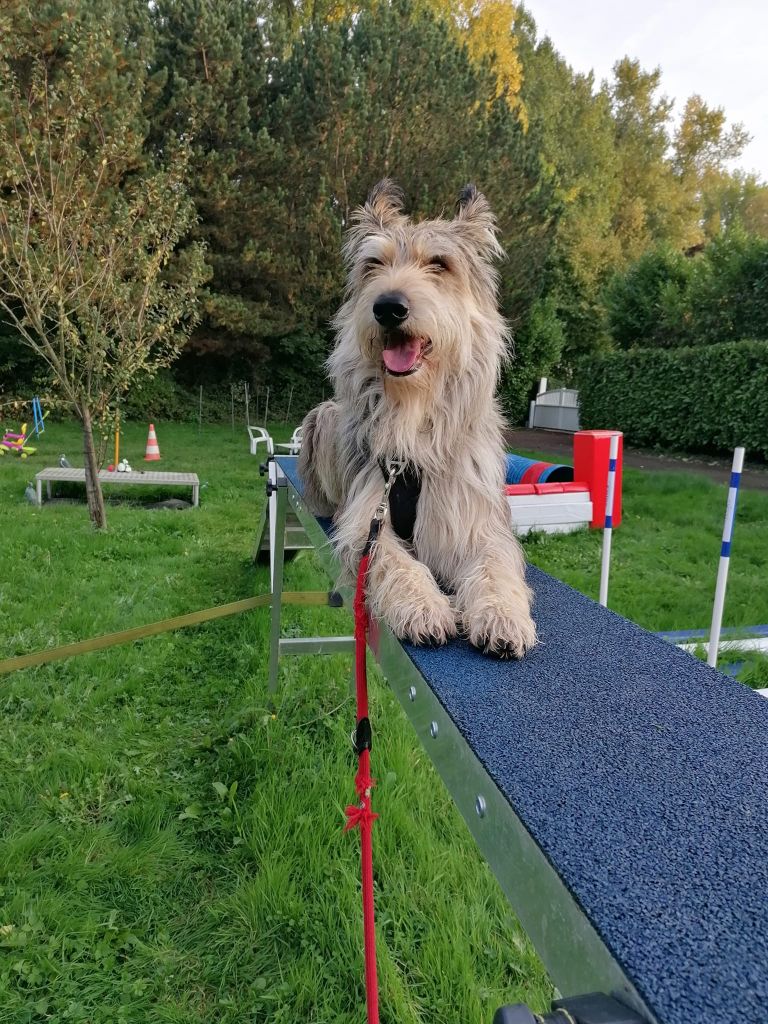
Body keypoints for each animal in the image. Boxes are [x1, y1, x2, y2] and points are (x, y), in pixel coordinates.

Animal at [296, 180, 536, 655]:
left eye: (439, 264)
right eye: (374, 264)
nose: (388, 307)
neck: (413, 408)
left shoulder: (476, 517)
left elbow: (496, 564)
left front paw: (502, 614)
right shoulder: (366, 515)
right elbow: (391, 558)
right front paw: (422, 606)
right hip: (325, 418)